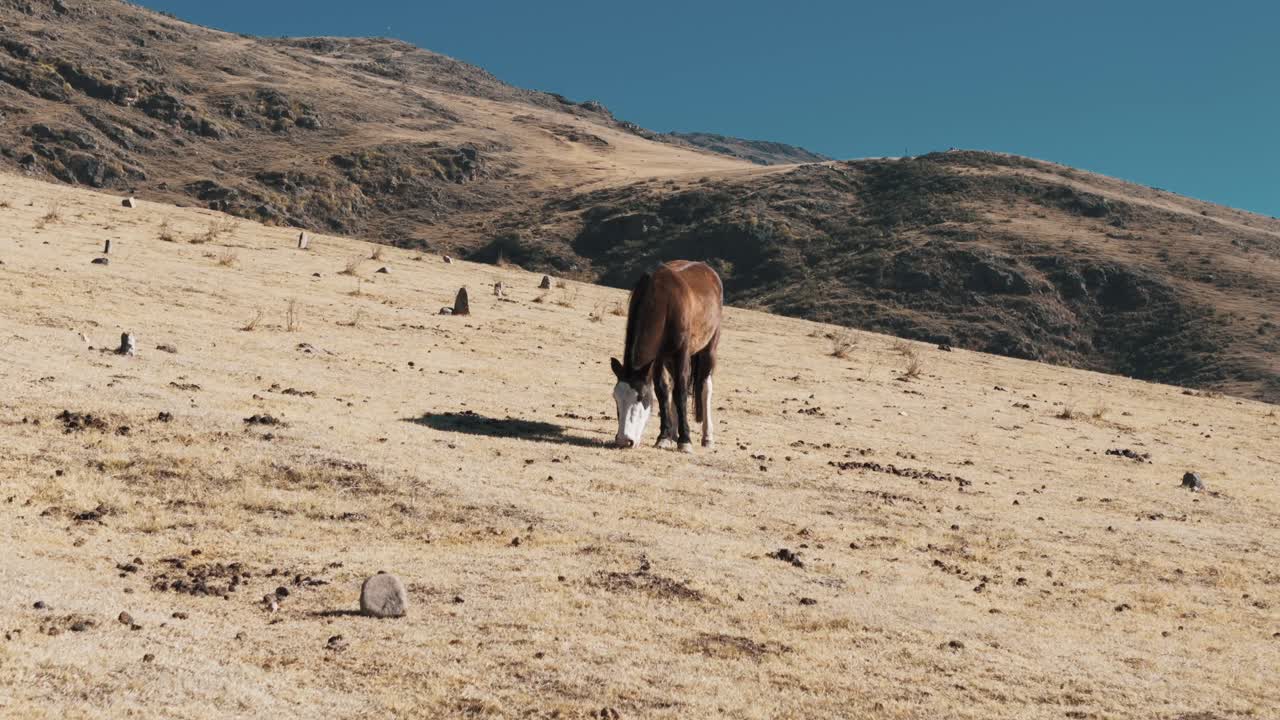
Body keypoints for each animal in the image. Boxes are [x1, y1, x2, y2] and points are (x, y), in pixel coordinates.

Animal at [610, 260, 723, 452]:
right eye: (615, 398)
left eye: (641, 397)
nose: (624, 440)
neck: (664, 302)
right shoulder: (658, 360)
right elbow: (663, 391)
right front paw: (664, 437)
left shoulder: (681, 354)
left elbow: (680, 392)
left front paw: (685, 441)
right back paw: (674, 433)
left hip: (709, 349)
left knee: (705, 386)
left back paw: (707, 437)